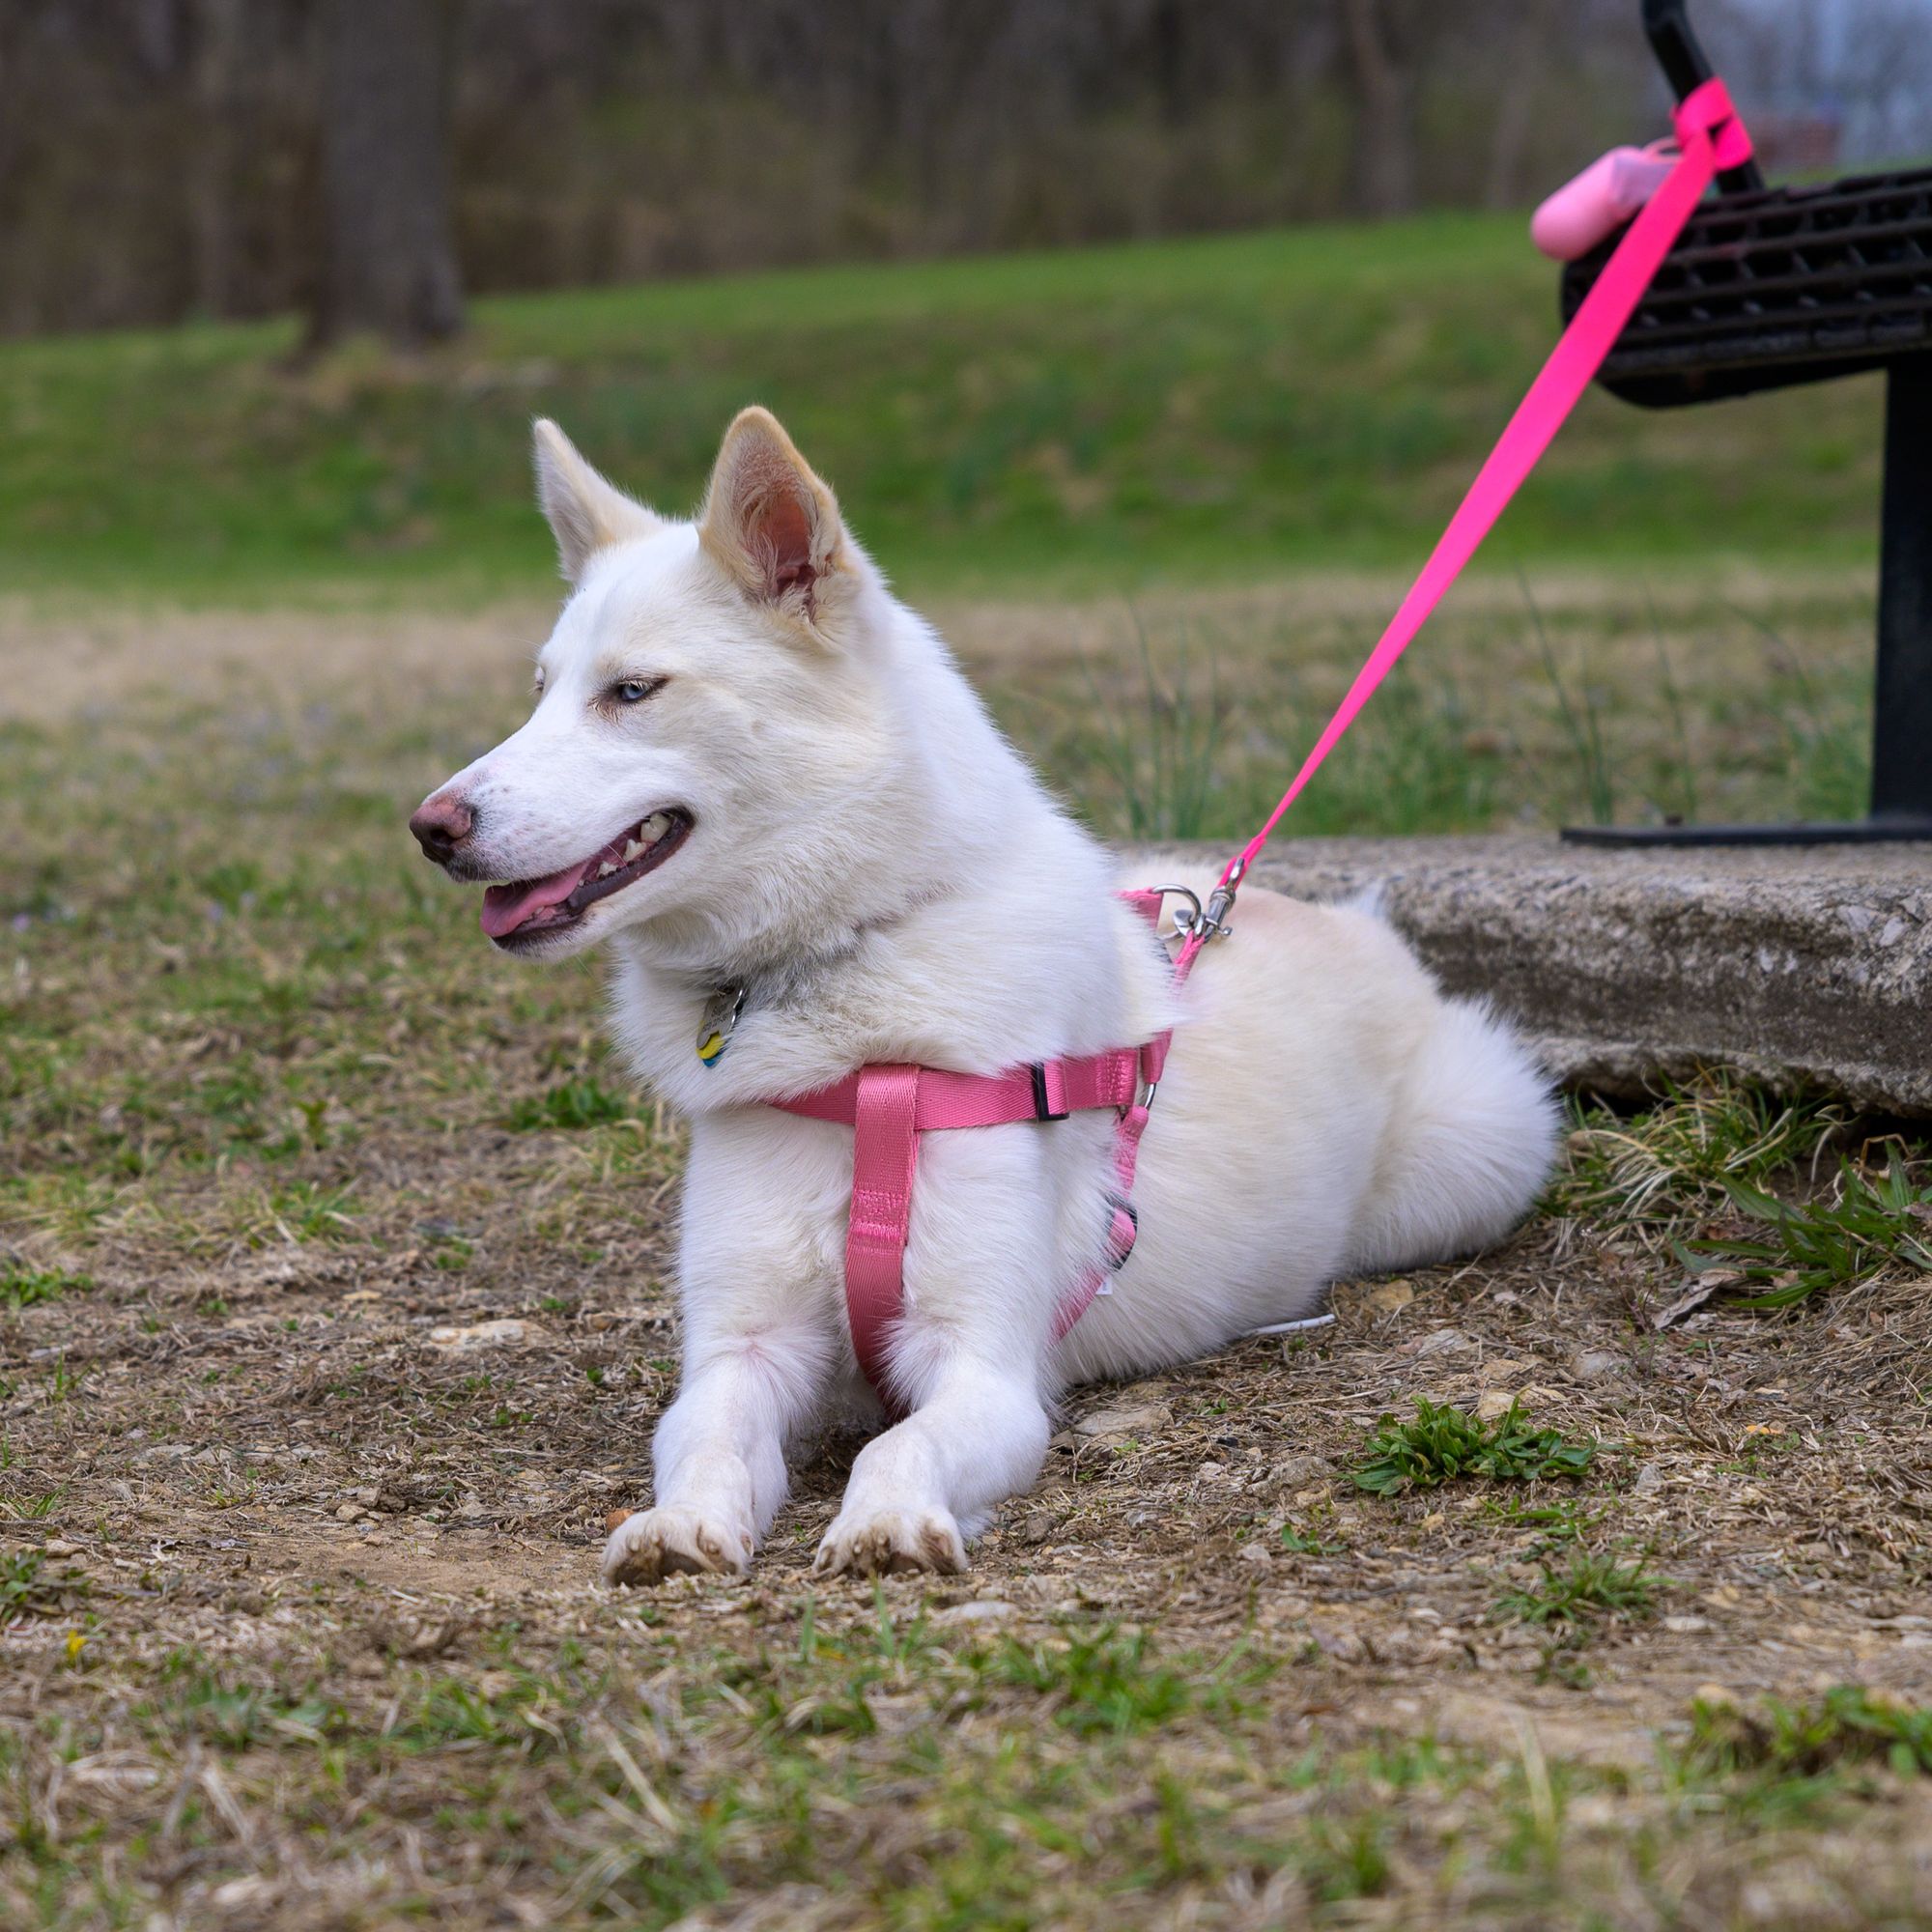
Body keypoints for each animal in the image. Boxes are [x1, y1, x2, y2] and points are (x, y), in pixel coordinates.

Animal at [408, 408, 1553, 1584]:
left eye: (632, 691)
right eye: (540, 692)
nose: (430, 826)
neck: (849, 976)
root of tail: (1357, 922)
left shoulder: (984, 1367)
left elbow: (899, 1443)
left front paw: (887, 1521)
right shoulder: (742, 1347)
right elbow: (708, 1437)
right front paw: (678, 1525)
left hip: (1473, 1162)